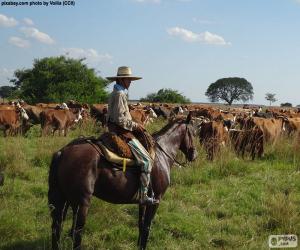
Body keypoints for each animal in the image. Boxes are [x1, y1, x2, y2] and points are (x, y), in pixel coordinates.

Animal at [48, 114, 198, 250]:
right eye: (192, 132)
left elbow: (141, 224)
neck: (162, 155)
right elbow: (147, 226)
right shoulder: (157, 200)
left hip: (65, 200)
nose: (194, 155)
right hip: (81, 203)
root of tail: (63, 152)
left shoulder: (144, 201)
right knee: (76, 233)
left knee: (57, 228)